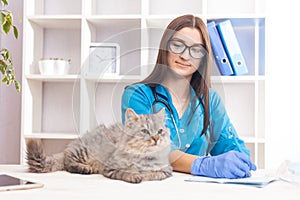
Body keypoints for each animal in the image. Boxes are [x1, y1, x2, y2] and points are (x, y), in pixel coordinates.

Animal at [27, 108, 172, 184]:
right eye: (145, 131)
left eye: (160, 131)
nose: (156, 138)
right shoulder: (110, 167)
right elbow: (125, 172)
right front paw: (135, 175)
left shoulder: (166, 170)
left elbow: (153, 174)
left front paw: (143, 174)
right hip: (84, 152)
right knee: (68, 162)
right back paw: (85, 168)